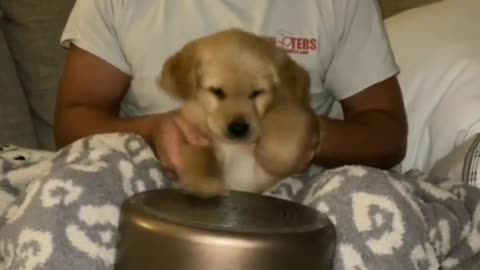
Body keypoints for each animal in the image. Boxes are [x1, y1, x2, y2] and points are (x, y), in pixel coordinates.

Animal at [158, 28, 316, 197]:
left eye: (257, 93)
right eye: (217, 92)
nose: (238, 128)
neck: (234, 147)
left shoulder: (293, 110)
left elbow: (284, 133)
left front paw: (272, 157)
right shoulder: (195, 133)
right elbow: (201, 154)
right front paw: (207, 182)